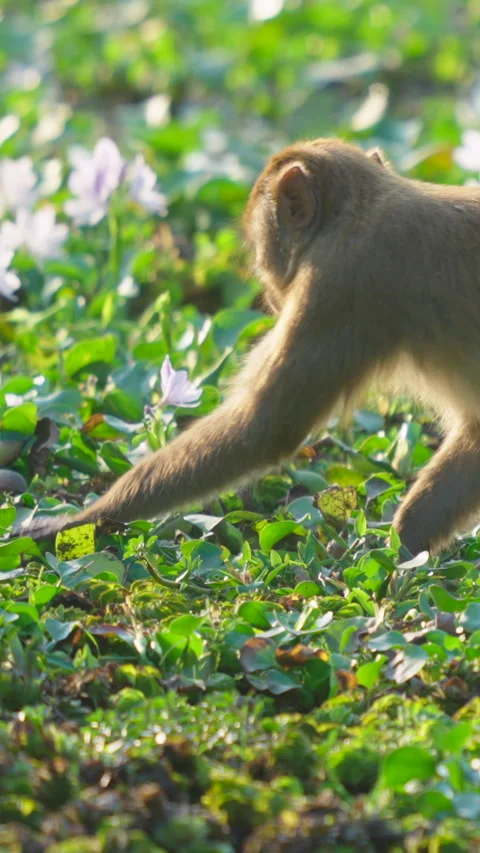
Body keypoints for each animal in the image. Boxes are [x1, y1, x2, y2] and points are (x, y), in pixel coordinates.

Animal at [11, 137, 480, 554]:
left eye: (261, 245)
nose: (265, 280)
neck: (361, 205)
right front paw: (403, 552)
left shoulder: (337, 284)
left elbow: (264, 428)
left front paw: (84, 520)